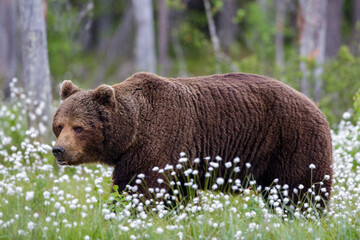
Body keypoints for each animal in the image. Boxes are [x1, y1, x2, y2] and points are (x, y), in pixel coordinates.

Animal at [52, 71, 334, 206]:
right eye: (59, 126)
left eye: (78, 127)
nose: (58, 150)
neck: (133, 131)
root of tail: (316, 106)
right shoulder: (181, 159)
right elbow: (175, 193)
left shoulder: (158, 141)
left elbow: (137, 186)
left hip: (293, 141)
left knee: (302, 189)